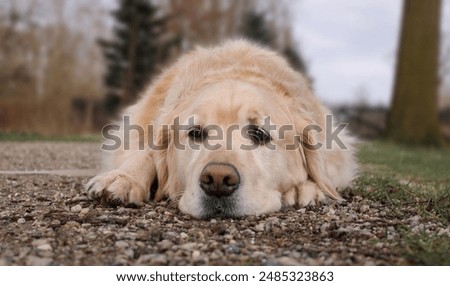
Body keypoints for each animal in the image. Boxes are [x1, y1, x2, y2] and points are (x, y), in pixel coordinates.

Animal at [86, 40, 356, 218]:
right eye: (195, 133)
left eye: (259, 134)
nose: (217, 180)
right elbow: (145, 153)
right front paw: (123, 178)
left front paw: (301, 188)